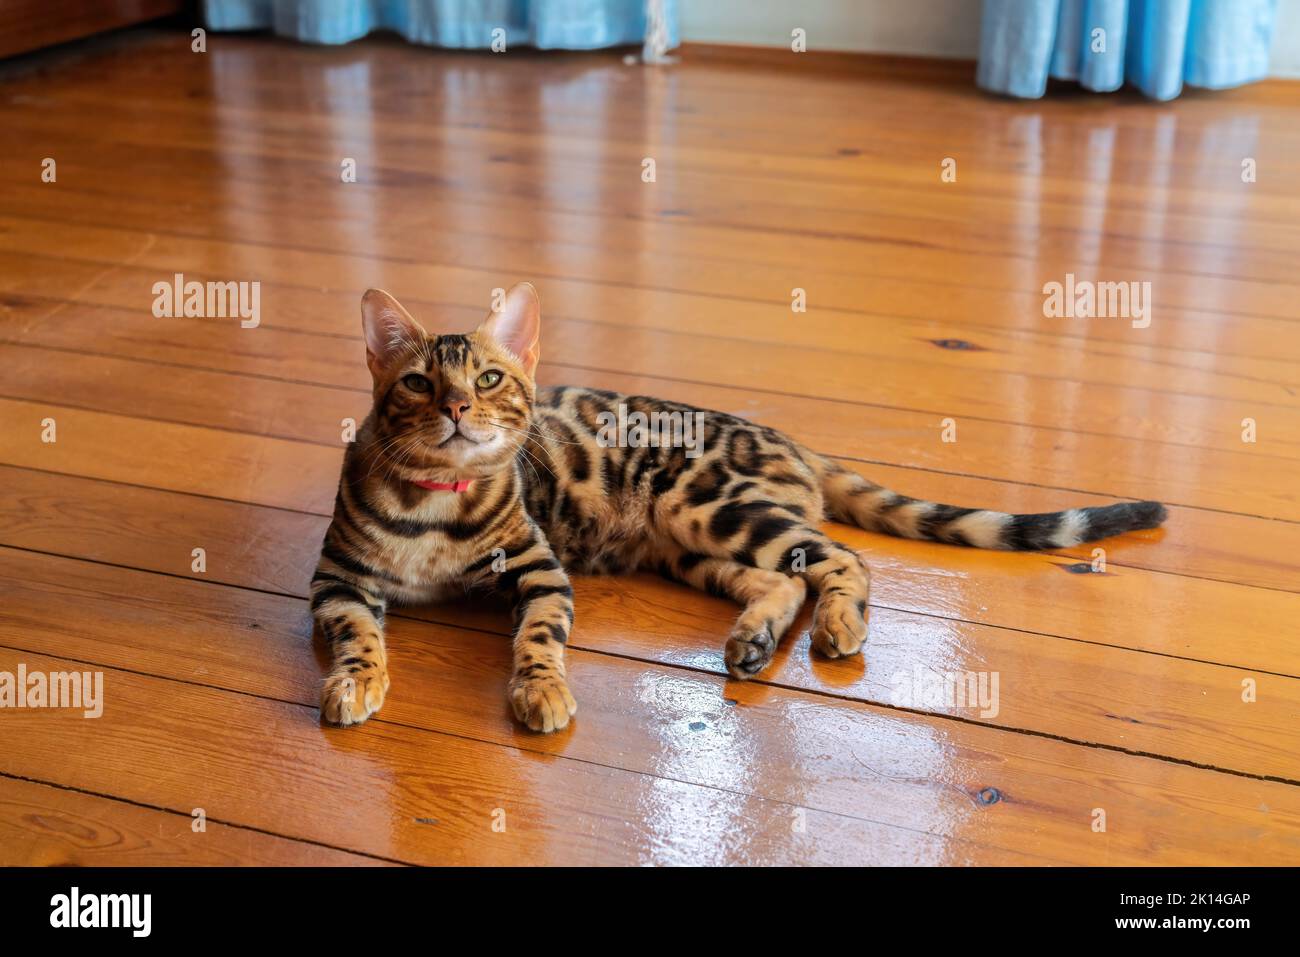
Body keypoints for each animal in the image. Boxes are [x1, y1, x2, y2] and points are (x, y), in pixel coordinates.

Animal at [306, 283, 1170, 733]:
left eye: (487, 378)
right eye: (418, 383)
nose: (456, 407)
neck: (435, 506)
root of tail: (786, 435)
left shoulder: (539, 569)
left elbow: (539, 639)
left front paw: (540, 690)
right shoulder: (336, 580)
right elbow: (357, 637)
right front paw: (356, 682)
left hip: (707, 503)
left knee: (842, 556)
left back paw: (839, 623)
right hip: (686, 544)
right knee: (782, 578)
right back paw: (755, 640)